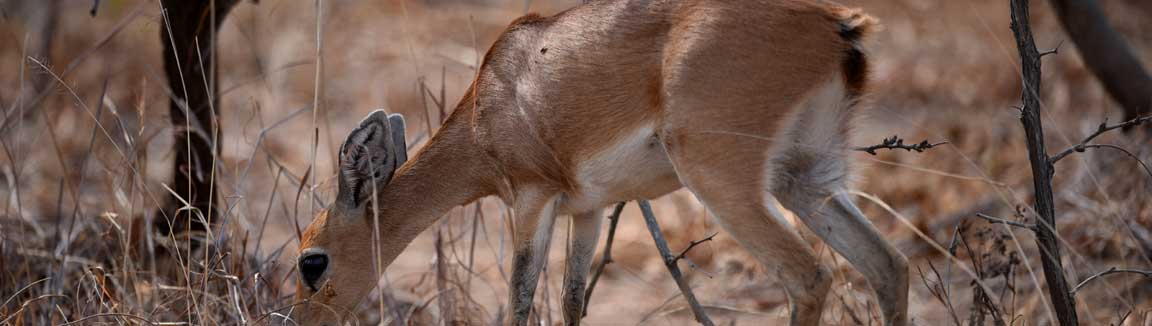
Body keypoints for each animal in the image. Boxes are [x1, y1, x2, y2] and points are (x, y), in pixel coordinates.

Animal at [292, 0, 903, 326]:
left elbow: (519, 302)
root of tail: (839, 24)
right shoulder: (586, 211)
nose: (300, 320)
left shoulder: (531, 200)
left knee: (809, 277)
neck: (491, 102)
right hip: (806, 178)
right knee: (888, 265)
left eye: (311, 262)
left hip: (724, 180)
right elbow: (570, 300)